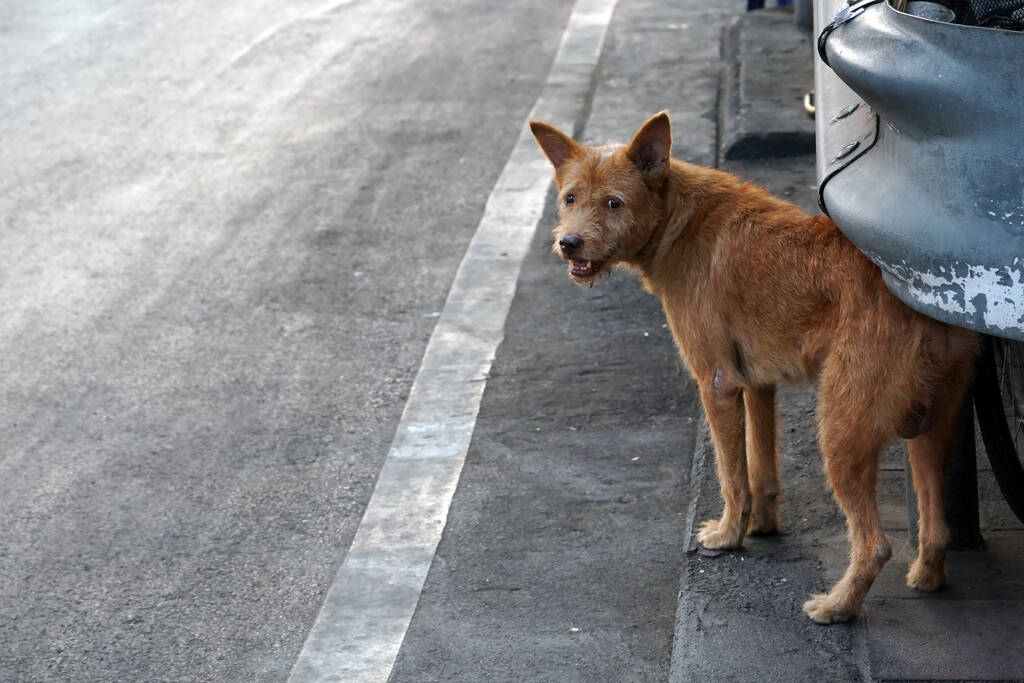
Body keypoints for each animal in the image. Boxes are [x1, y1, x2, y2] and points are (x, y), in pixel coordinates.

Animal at [532, 112, 978, 626]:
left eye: (613, 202)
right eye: (569, 198)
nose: (569, 243)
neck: (680, 219)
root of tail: (921, 301)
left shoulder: (717, 384)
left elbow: (731, 474)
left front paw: (728, 535)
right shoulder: (758, 383)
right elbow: (760, 467)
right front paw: (763, 525)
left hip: (840, 434)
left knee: (875, 545)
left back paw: (837, 606)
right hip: (929, 427)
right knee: (936, 525)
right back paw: (926, 576)